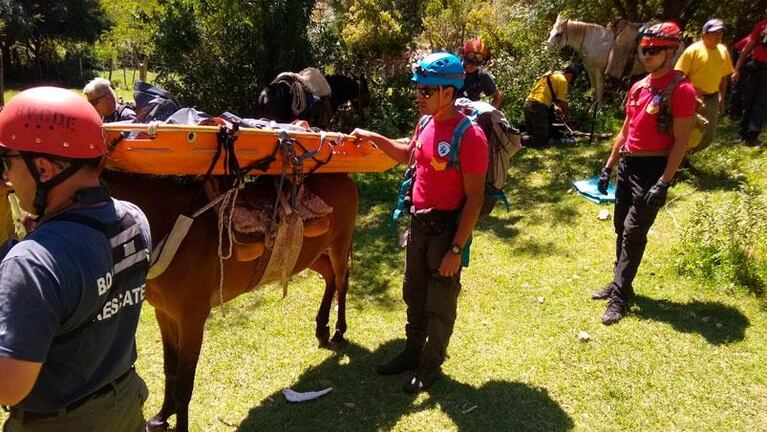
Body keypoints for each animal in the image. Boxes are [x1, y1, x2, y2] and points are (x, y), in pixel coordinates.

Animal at [1, 173, 360, 432]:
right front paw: (162, 415)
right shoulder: (165, 313)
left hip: (339, 243)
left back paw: (339, 330)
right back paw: (321, 327)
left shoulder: (192, 319)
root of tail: (347, 179)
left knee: (342, 280)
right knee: (330, 278)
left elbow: (185, 383)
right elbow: (170, 369)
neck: (168, 227)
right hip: (311, 254)